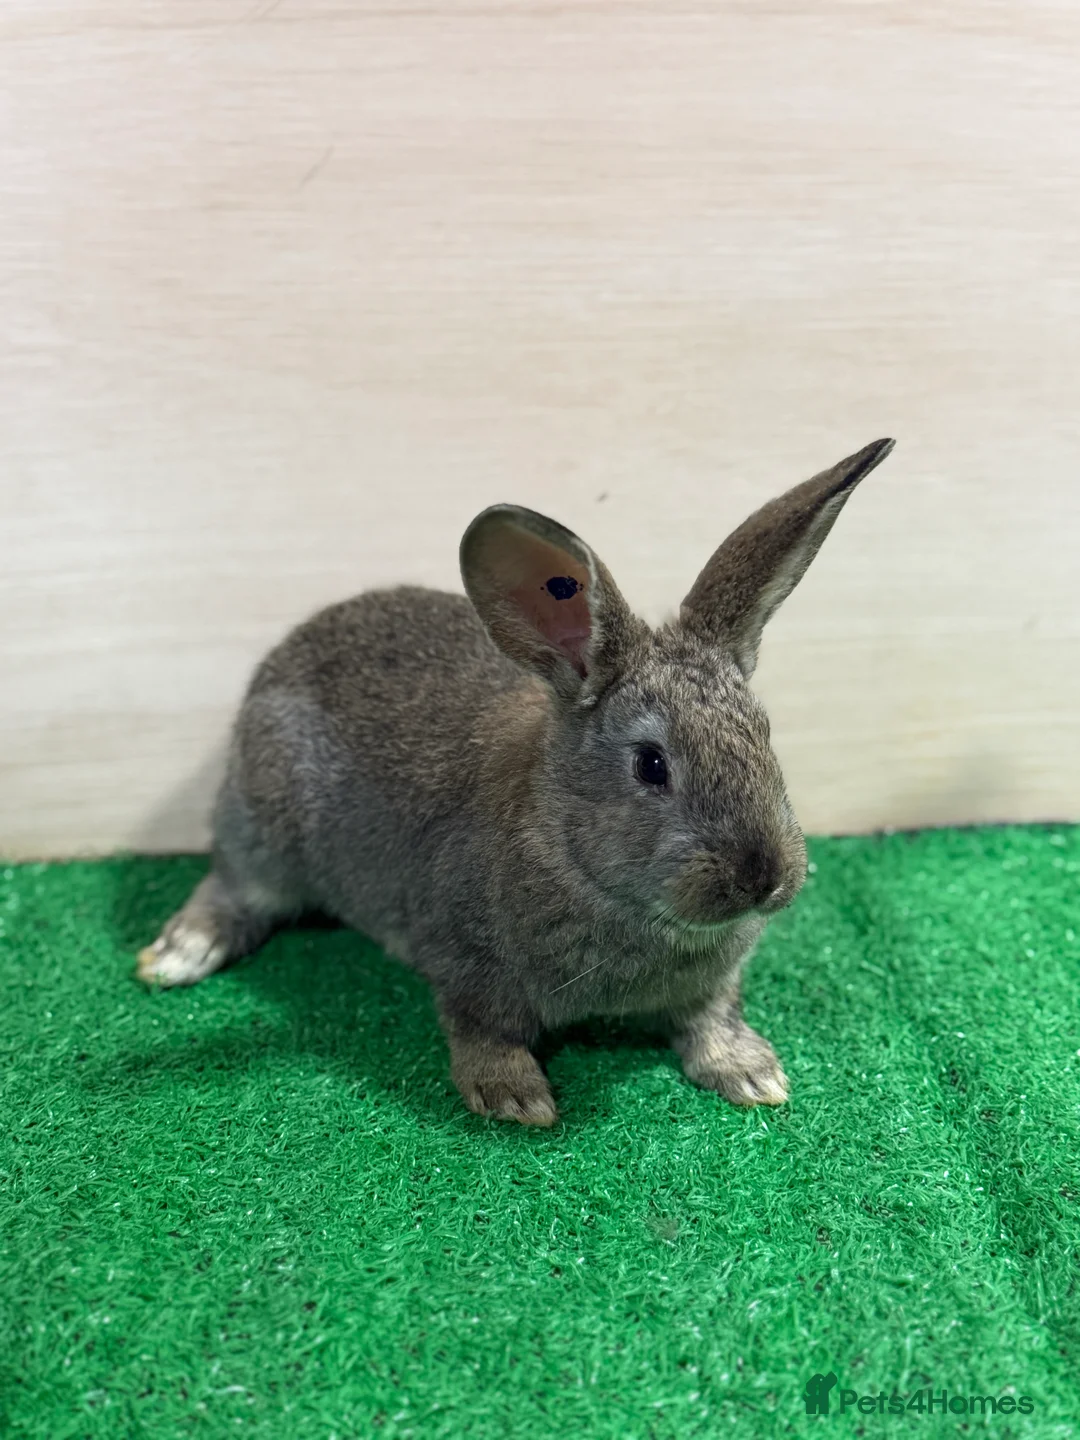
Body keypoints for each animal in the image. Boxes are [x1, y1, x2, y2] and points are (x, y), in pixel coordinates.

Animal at [138, 437, 895, 1126]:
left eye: (765, 735)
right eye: (651, 764)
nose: (763, 879)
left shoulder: (713, 983)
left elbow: (711, 1017)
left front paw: (751, 1073)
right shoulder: (468, 966)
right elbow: (482, 1031)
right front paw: (516, 1098)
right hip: (263, 829)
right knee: (232, 887)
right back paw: (176, 956)